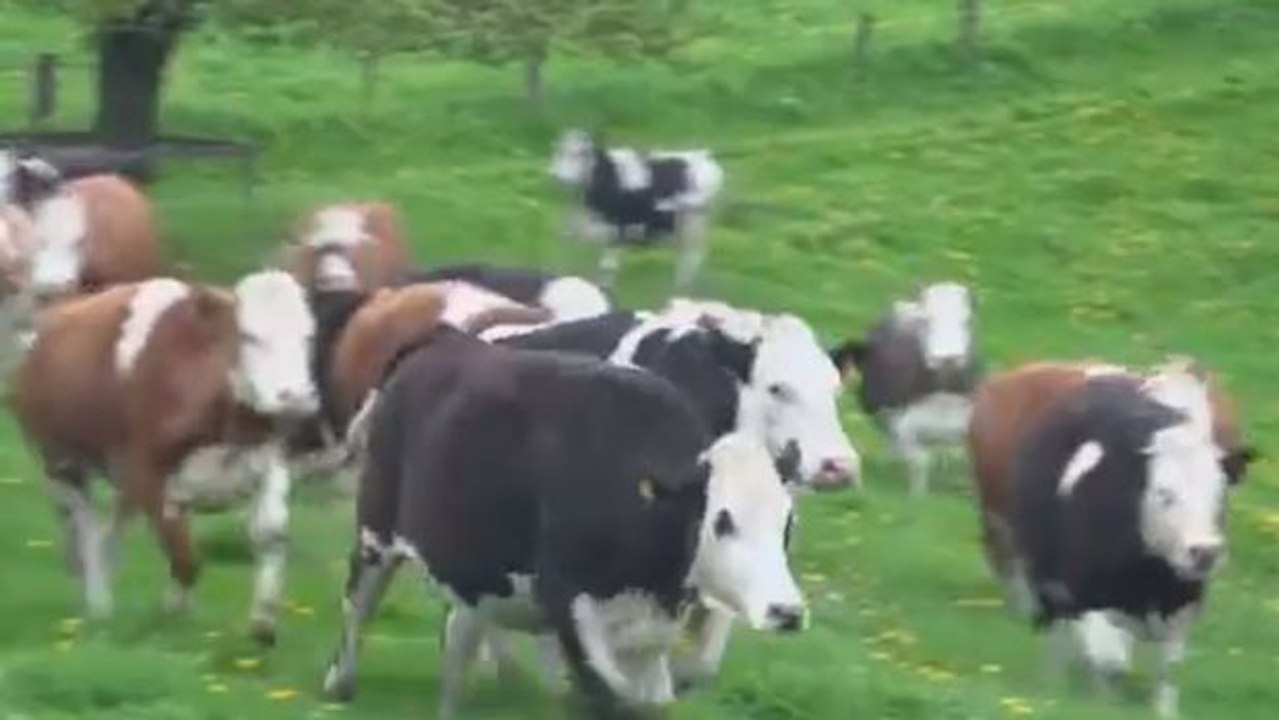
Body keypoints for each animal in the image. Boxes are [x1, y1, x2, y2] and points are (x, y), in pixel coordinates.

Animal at [8, 270, 319, 646]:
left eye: (308, 336)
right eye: (249, 336)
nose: (297, 397)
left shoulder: (270, 460)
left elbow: (271, 535)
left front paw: (263, 623)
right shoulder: (152, 477)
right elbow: (185, 556)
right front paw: (173, 612)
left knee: (108, 530)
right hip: (61, 463)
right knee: (85, 528)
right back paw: (99, 603)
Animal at [320, 319, 805, 719]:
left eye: (787, 524)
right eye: (722, 521)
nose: (787, 611)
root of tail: (447, 338)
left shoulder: (649, 638)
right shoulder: (569, 609)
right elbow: (603, 699)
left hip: (473, 577)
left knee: (460, 638)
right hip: (376, 533)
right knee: (357, 605)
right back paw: (339, 684)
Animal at [548, 129, 724, 294]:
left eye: (582, 154)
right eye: (560, 151)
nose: (560, 177)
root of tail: (702, 156)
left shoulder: (618, 231)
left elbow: (607, 267)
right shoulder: (573, 232)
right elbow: (566, 262)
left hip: (695, 224)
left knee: (692, 258)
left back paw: (680, 289)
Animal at [829, 281, 980, 496]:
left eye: (966, 321)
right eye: (926, 320)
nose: (947, 359)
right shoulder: (903, 425)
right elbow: (919, 461)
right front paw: (918, 497)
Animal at [1009, 371, 1241, 718]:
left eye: (1219, 491)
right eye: (1164, 492)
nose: (1205, 553)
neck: (1149, 577)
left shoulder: (1181, 607)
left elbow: (1169, 671)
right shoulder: (1086, 596)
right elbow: (1109, 663)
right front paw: (1098, 706)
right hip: (1047, 578)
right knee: (1059, 636)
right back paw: (1051, 689)